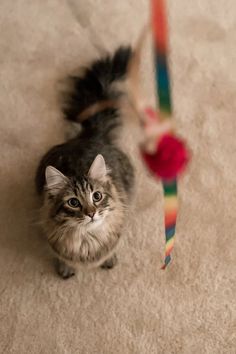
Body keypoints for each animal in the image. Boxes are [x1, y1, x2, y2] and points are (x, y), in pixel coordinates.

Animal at [35, 47, 135, 280]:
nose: (91, 213)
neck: (87, 241)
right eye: (73, 202)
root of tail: (90, 134)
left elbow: (111, 250)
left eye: (96, 196)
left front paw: (109, 260)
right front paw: (65, 268)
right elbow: (62, 258)